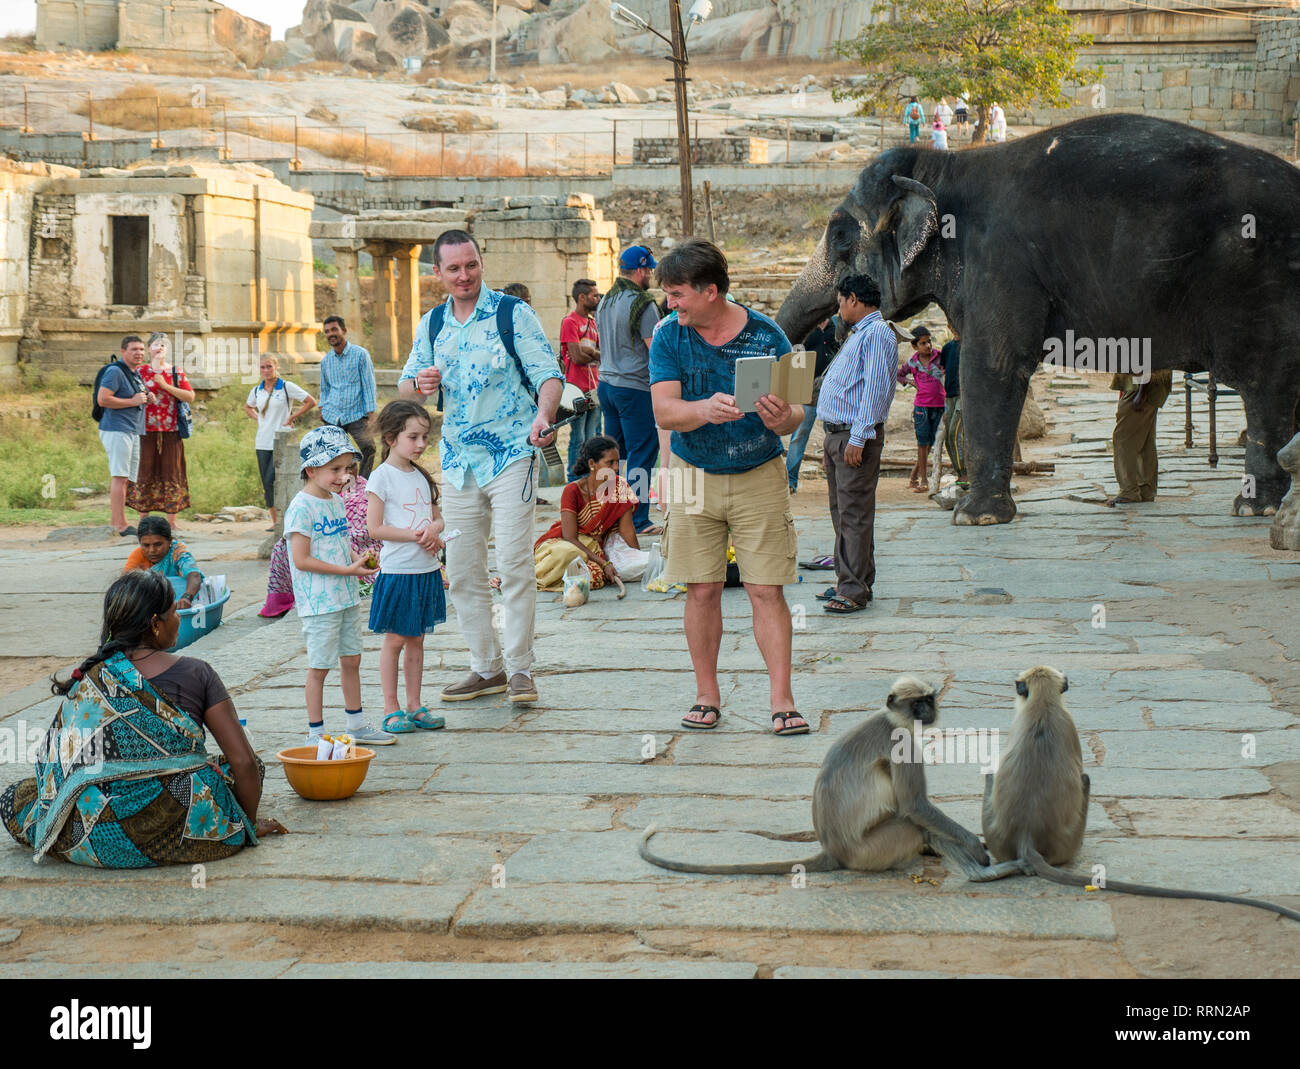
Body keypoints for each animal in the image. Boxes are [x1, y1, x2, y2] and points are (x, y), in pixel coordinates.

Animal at [637, 676, 982, 879]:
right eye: (917, 703)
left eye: (929, 700)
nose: (927, 711)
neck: (892, 720)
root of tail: (833, 851)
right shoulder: (902, 742)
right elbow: (915, 805)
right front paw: (974, 845)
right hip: (869, 850)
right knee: (912, 824)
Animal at [774, 113, 1294, 527]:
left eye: (840, 236)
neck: (943, 166)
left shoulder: (1000, 261)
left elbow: (992, 365)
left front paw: (974, 519)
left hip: (1257, 283)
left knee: (1264, 383)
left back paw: (1254, 507)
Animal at [977, 665, 1300, 925]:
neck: (1042, 704)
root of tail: (1027, 837)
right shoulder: (1069, 725)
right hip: (1069, 842)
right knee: (1080, 779)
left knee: (992, 776)